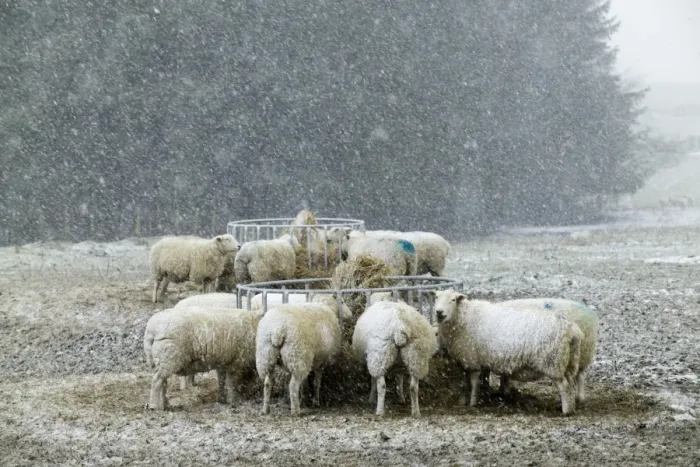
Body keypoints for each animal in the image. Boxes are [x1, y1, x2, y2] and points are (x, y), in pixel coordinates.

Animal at [432, 290, 584, 415]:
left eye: (453, 300)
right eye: (436, 297)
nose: (439, 312)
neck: (463, 317)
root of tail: (571, 329)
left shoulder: (472, 359)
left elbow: (474, 382)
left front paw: (473, 402)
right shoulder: (477, 360)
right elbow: (474, 381)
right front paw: (474, 397)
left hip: (552, 361)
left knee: (564, 385)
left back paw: (566, 411)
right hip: (568, 361)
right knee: (571, 383)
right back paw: (571, 406)